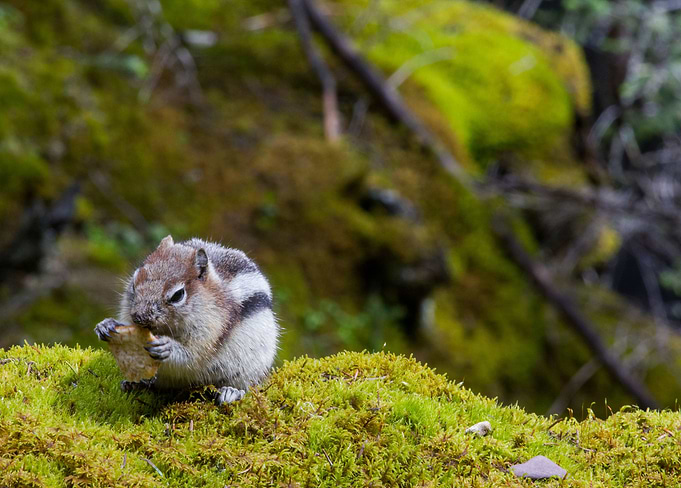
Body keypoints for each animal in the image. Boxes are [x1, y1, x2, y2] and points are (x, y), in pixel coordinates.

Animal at [94, 235, 279, 404]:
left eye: (178, 295)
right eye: (133, 283)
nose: (139, 317)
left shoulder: (210, 330)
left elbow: (193, 355)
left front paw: (167, 347)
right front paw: (106, 325)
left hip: (249, 367)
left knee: (247, 384)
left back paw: (231, 392)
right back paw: (137, 383)